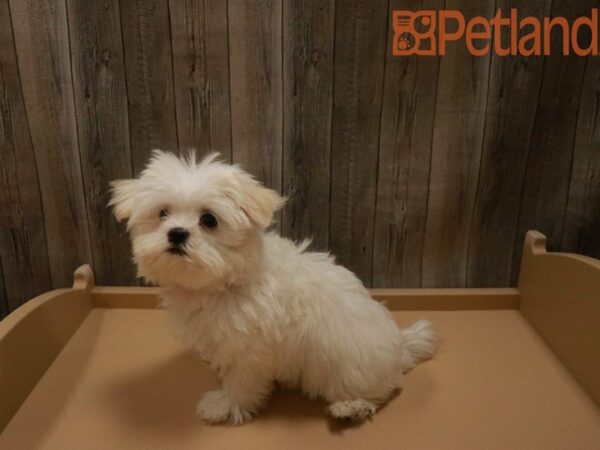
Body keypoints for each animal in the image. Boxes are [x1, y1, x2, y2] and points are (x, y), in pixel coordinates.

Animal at [109, 151, 436, 426]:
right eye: (162, 214)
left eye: (209, 220)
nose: (177, 234)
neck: (227, 281)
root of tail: (400, 347)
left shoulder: (249, 349)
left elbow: (241, 380)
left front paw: (224, 405)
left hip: (350, 369)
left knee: (380, 393)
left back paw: (350, 407)